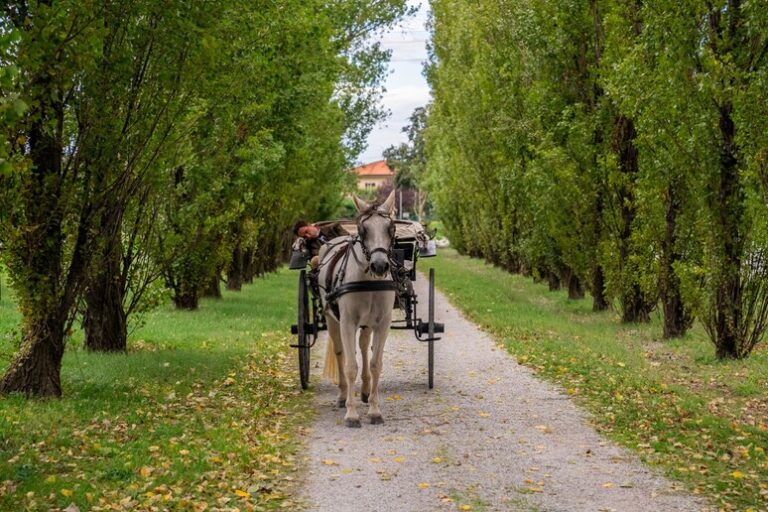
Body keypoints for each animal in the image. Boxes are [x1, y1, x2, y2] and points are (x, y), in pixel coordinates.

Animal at [316, 190, 396, 426]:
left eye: (391, 228)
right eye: (363, 229)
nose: (380, 266)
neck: (368, 280)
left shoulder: (383, 323)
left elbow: (375, 363)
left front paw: (374, 410)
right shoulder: (347, 322)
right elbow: (350, 366)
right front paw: (351, 414)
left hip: (367, 323)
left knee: (362, 347)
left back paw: (365, 390)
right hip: (331, 318)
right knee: (341, 352)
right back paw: (344, 396)